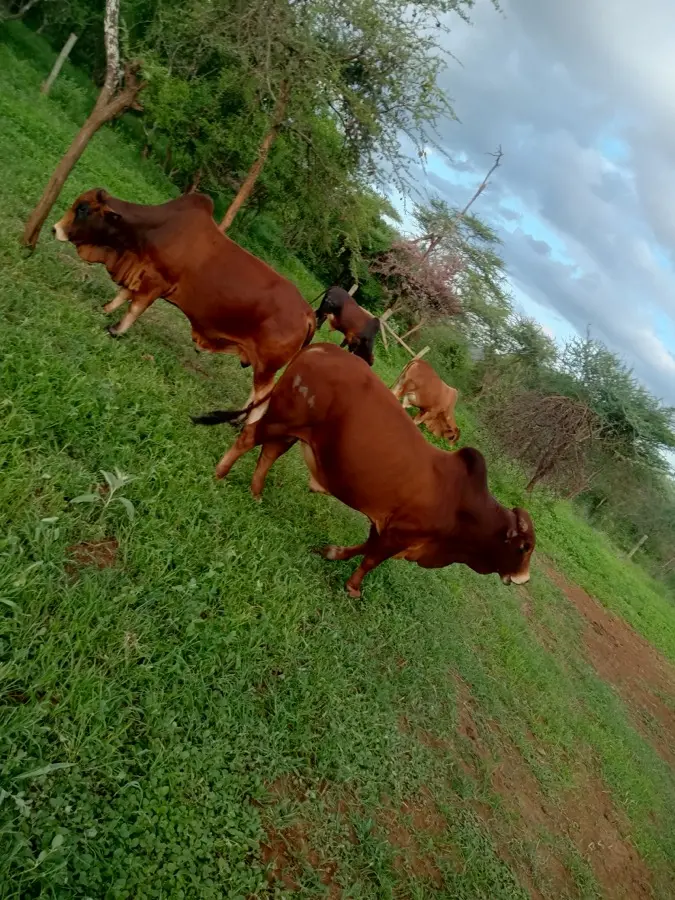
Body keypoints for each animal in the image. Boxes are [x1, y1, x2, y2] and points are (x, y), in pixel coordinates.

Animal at [53, 189, 316, 418]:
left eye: (84, 208)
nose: (55, 228)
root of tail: (307, 313)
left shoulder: (156, 282)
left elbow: (135, 306)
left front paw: (116, 330)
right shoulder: (142, 272)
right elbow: (124, 294)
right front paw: (106, 310)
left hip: (267, 367)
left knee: (262, 400)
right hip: (263, 367)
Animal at [192, 343, 535, 598]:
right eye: (522, 547)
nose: (523, 579)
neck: (462, 508)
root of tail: (321, 347)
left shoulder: (385, 527)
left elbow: (363, 547)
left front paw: (332, 552)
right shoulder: (398, 534)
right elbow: (370, 559)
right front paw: (353, 588)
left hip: (293, 431)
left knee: (268, 454)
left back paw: (255, 494)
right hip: (281, 419)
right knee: (249, 437)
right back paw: (220, 474)